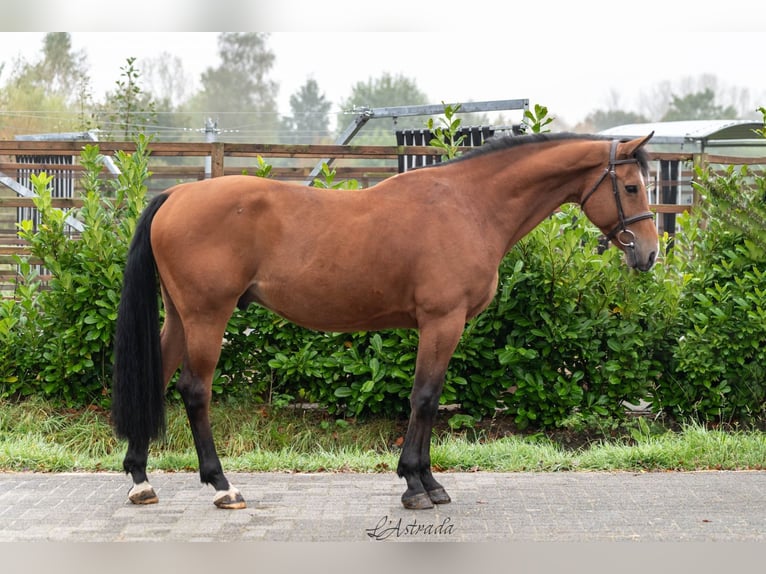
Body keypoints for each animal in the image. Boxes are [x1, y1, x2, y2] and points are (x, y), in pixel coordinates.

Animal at [111, 134, 656, 512]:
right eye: (631, 186)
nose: (649, 254)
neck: (469, 204)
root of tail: (177, 194)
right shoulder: (442, 322)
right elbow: (425, 398)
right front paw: (416, 484)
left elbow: (427, 400)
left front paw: (429, 481)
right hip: (208, 316)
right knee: (194, 390)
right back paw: (222, 486)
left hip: (180, 317)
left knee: (157, 378)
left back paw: (141, 480)